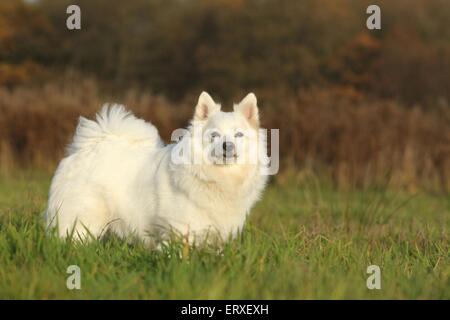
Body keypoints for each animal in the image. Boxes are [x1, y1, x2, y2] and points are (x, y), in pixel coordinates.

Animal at [46, 91, 268, 246]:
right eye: (214, 135)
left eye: (238, 135)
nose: (227, 146)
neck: (219, 178)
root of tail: (90, 146)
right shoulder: (180, 229)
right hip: (83, 219)